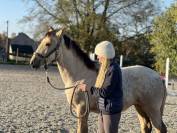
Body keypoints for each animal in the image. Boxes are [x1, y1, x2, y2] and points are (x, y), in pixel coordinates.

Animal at [29, 28, 167, 133]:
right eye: (41, 42)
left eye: (47, 44)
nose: (33, 62)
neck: (79, 76)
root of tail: (158, 78)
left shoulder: (81, 110)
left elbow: (82, 130)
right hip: (140, 107)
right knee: (146, 127)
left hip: (152, 109)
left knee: (160, 128)